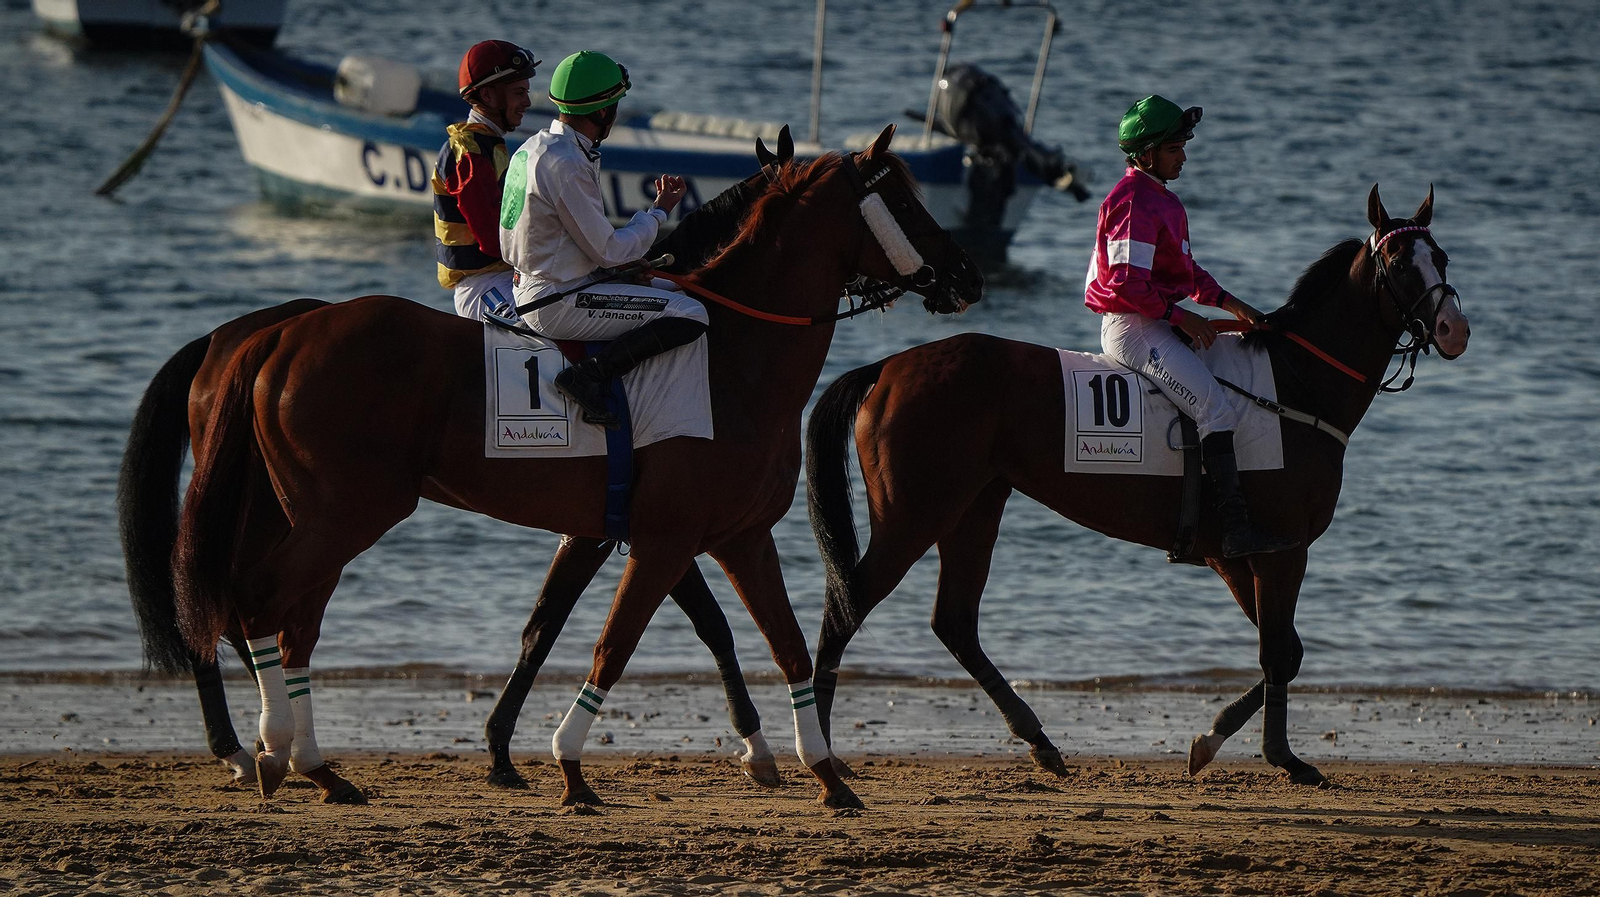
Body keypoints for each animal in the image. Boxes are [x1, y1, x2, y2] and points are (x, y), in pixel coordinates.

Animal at [169, 124, 983, 809]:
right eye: (904, 199)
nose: (968, 275)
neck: (733, 357)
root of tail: (281, 333)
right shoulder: (663, 539)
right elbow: (614, 645)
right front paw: (568, 763)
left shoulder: (734, 537)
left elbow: (783, 646)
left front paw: (825, 771)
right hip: (345, 510)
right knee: (259, 602)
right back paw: (273, 752)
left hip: (319, 513)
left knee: (288, 619)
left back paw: (312, 763)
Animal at [804, 186, 1469, 786]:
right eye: (1400, 264)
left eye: (1443, 258)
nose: (1453, 328)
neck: (1294, 387)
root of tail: (889, 367)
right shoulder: (1281, 551)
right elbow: (1280, 651)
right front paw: (1279, 757)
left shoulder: (1238, 559)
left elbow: (1287, 650)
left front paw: (1213, 739)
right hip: (913, 514)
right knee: (844, 611)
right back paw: (825, 760)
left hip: (974, 507)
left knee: (954, 622)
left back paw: (1039, 742)